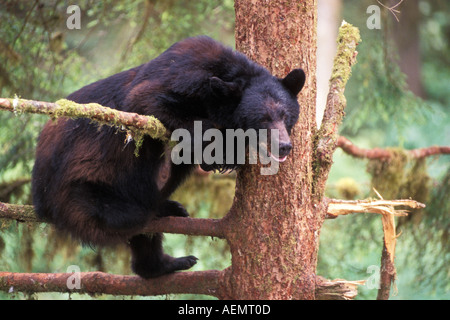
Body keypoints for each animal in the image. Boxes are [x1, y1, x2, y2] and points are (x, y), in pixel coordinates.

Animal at [32, 36, 306, 278]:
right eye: (262, 119)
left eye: (285, 115)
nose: (284, 146)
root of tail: (40, 198)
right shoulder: (179, 78)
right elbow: (147, 101)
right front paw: (218, 146)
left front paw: (227, 156)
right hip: (80, 188)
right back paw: (148, 211)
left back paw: (168, 257)